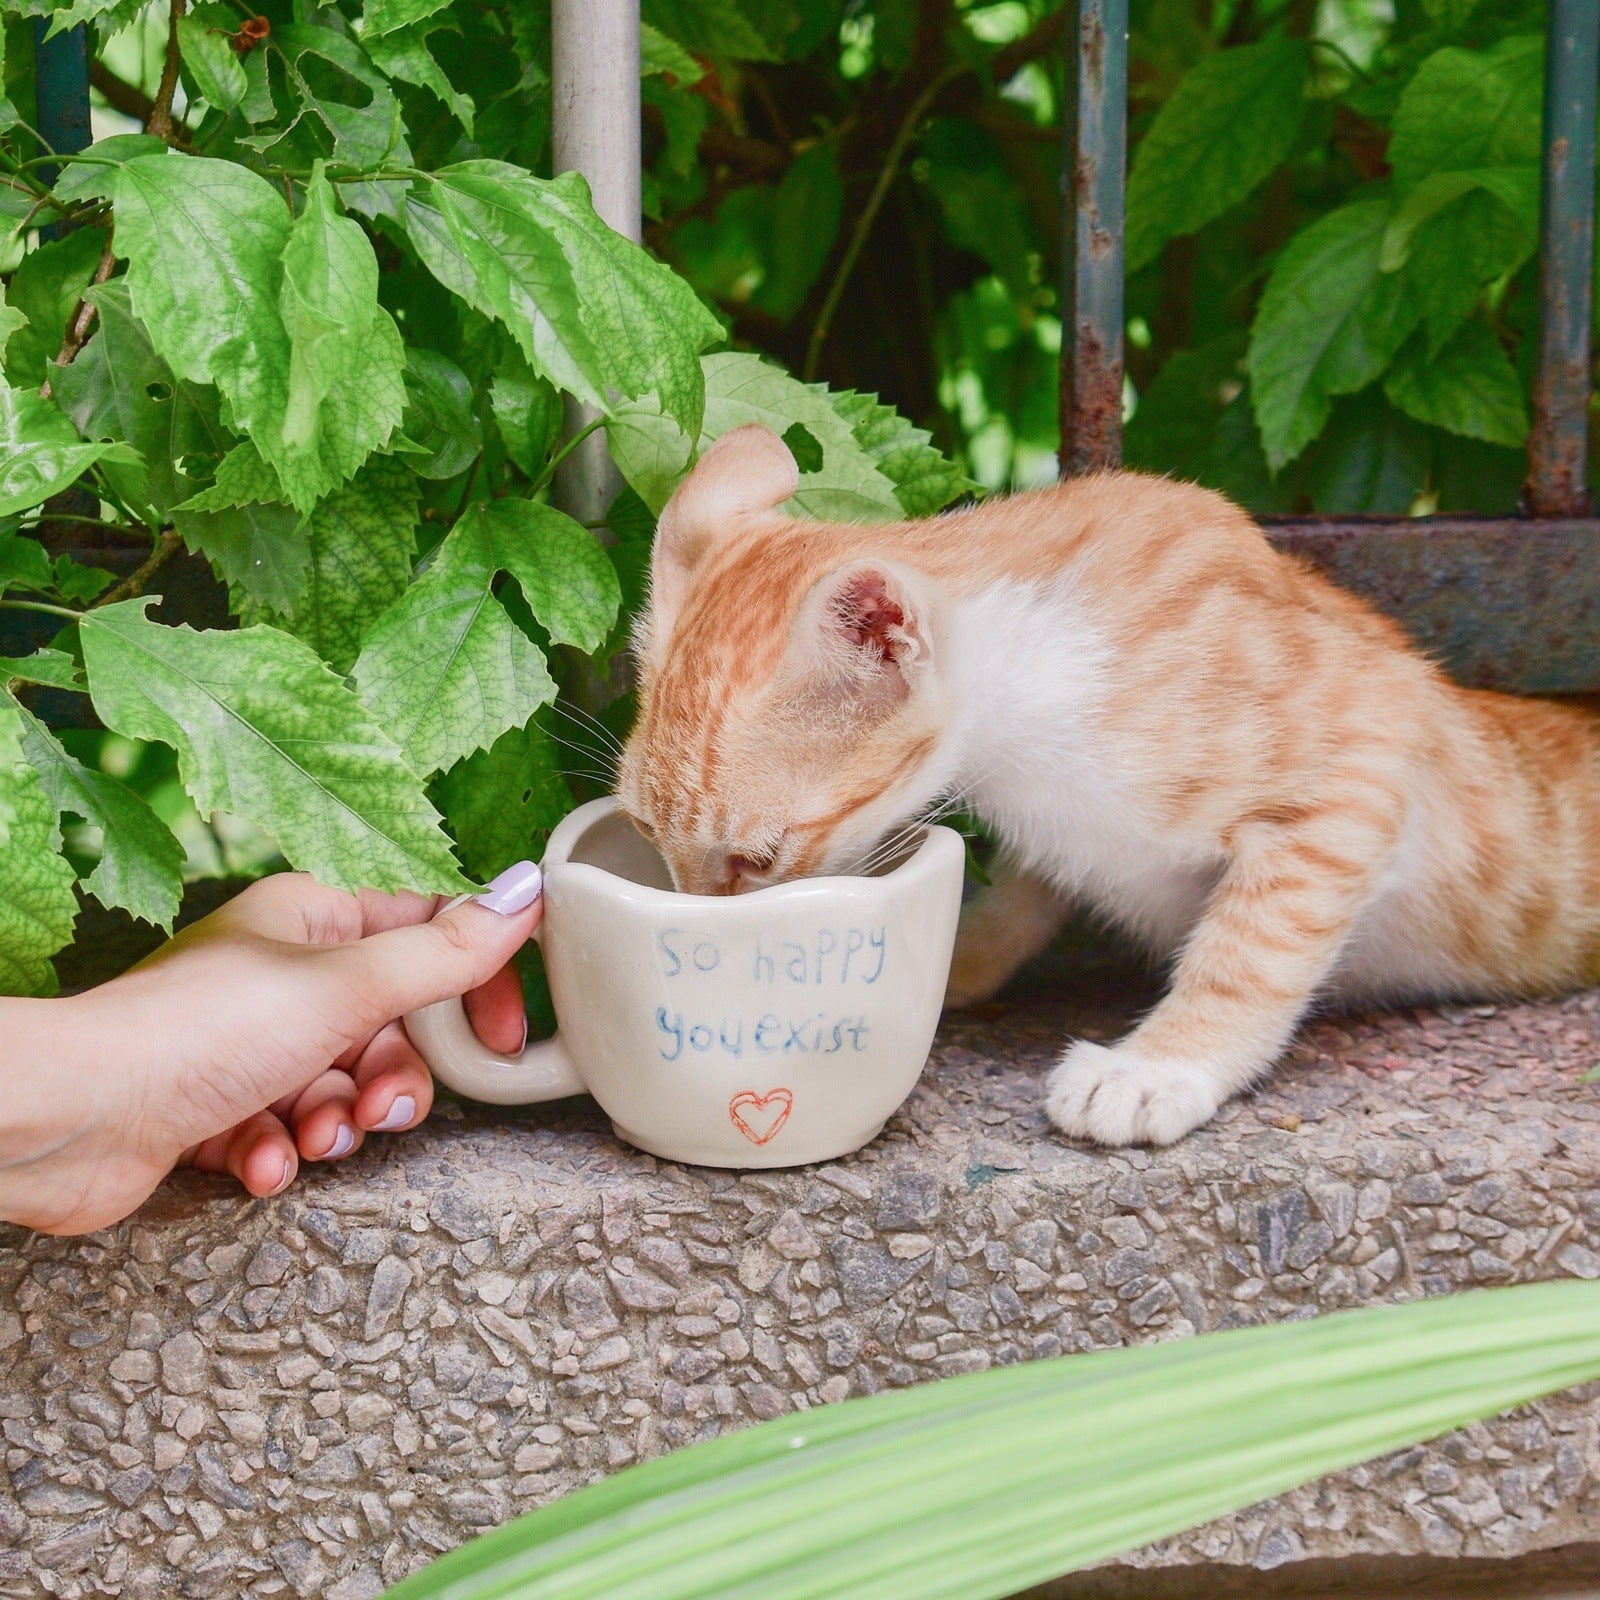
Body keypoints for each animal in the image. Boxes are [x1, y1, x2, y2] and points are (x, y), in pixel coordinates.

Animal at [614, 425, 1600, 1145]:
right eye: (649, 836)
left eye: (754, 859)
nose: (693, 930)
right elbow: (1028, 893)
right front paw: (964, 958)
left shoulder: (1373, 734)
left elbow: (1252, 948)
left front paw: (1158, 1067)